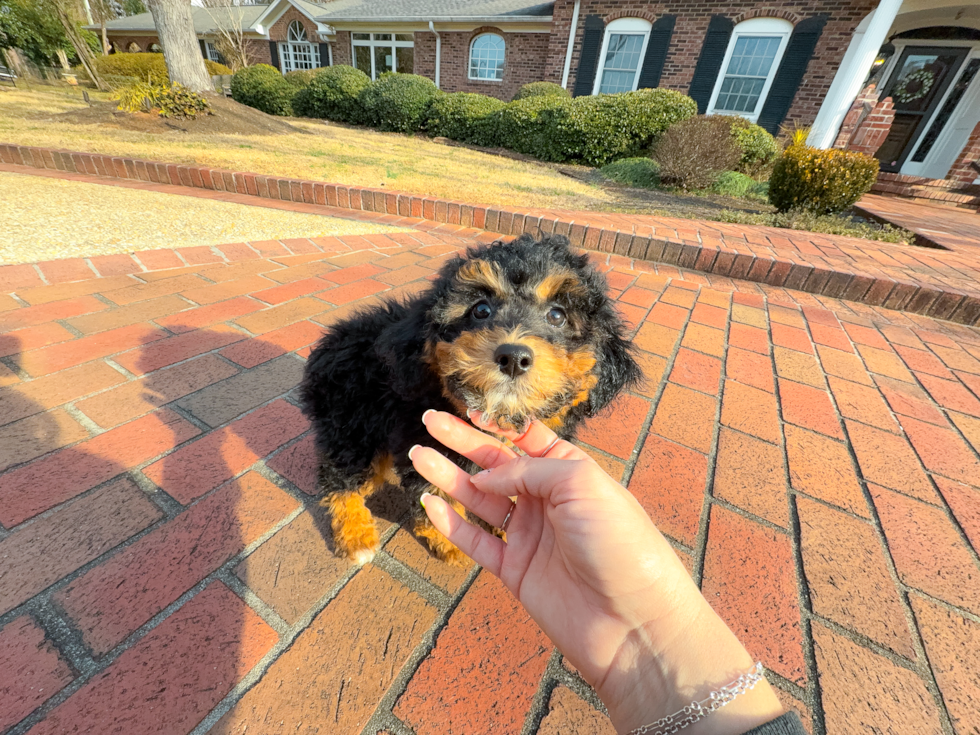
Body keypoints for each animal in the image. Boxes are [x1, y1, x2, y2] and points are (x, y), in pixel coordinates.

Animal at [298, 233, 644, 568]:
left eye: (557, 315)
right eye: (481, 310)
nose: (513, 357)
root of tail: (330, 341)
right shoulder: (428, 442)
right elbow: (437, 498)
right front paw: (450, 542)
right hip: (352, 424)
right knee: (339, 479)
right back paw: (355, 536)